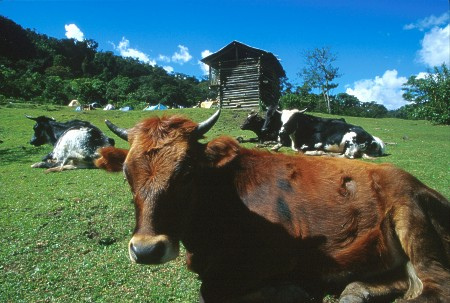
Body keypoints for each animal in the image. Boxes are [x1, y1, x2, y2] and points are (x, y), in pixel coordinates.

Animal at [96, 111, 448, 303]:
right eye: (127, 174)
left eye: (186, 172)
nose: (146, 250)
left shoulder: (281, 255)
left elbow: (209, 291)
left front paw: (289, 291)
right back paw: (356, 290)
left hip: (411, 219)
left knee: (437, 284)